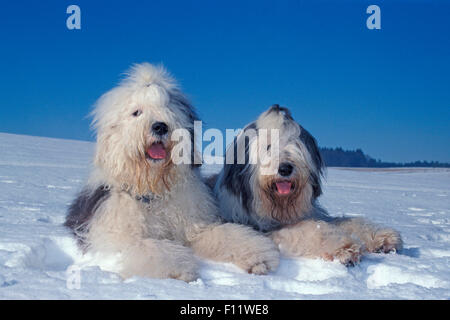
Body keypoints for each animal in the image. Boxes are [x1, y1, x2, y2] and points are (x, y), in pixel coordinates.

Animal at [65, 63, 280, 280]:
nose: (160, 126)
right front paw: (178, 270)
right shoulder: (117, 238)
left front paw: (258, 258)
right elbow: (149, 248)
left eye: (168, 110)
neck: (153, 190)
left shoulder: (194, 226)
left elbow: (225, 235)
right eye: (136, 112)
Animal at [214, 105, 404, 264]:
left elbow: (344, 221)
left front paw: (382, 237)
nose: (285, 168)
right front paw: (344, 247)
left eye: (295, 144)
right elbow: (308, 230)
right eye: (268, 146)